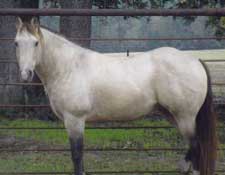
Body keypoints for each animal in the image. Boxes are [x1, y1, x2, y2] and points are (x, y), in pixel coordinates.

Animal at [13, 17, 216, 175]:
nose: (25, 74)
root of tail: (195, 60)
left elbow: (77, 155)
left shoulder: (74, 120)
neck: (69, 67)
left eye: (36, 43)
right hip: (174, 116)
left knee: (196, 148)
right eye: (16, 43)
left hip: (185, 117)